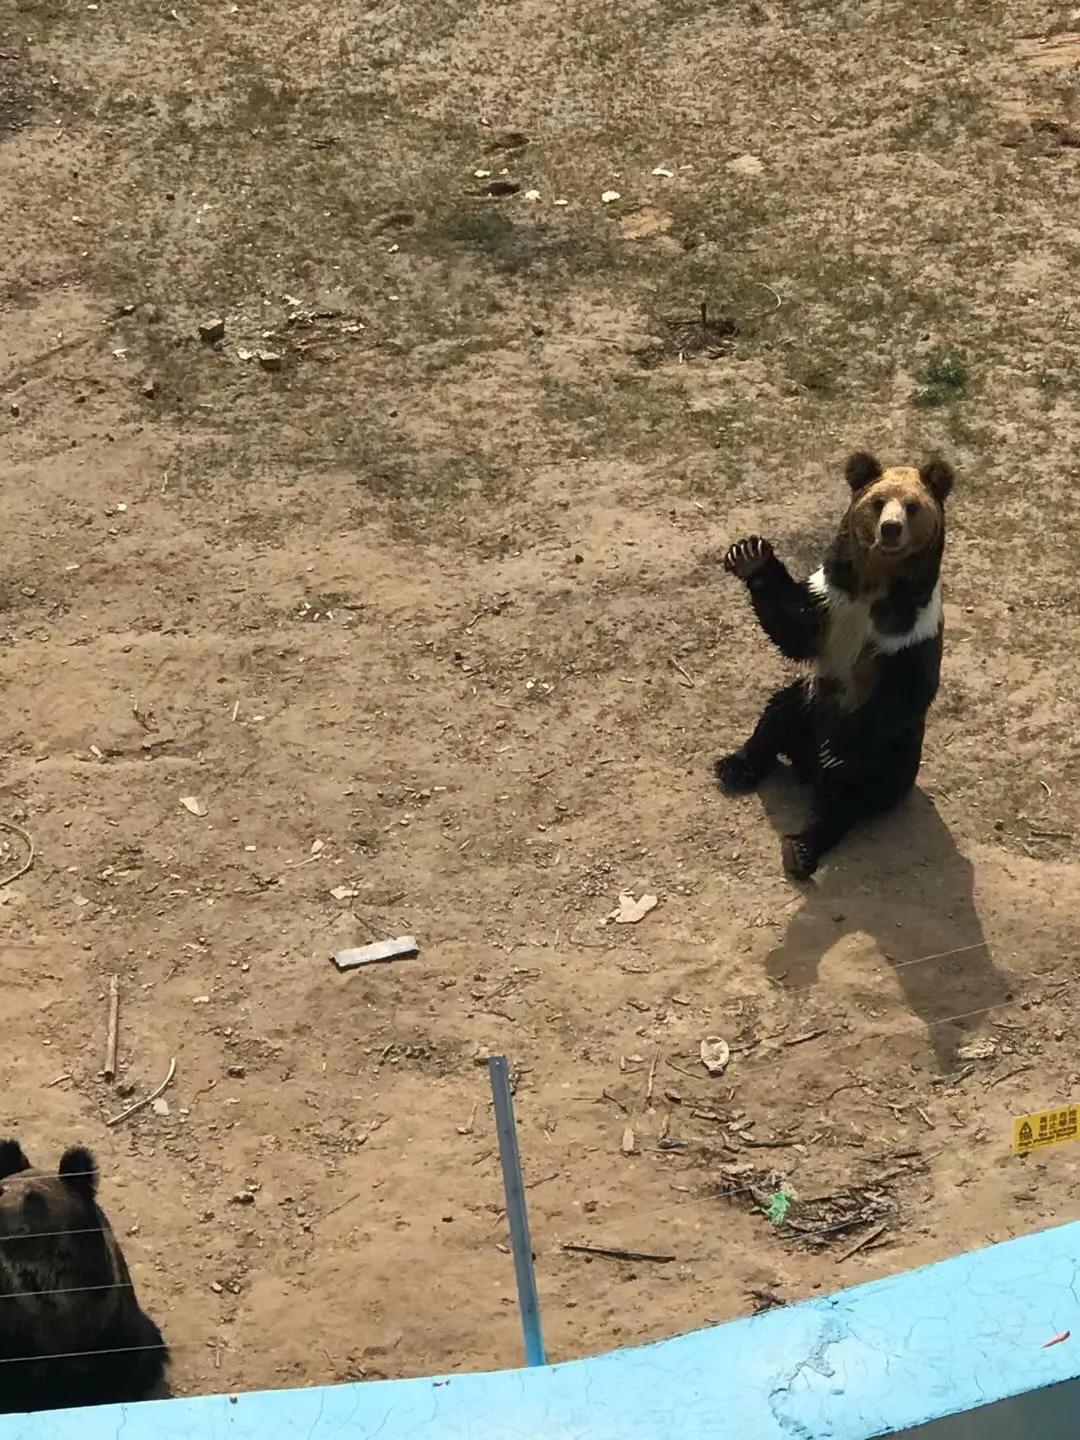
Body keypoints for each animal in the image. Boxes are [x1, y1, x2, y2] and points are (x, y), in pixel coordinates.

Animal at [720, 449, 956, 875]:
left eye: (912, 506)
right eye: (878, 502)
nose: (890, 529)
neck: (875, 586)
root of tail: (805, 766)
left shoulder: (910, 631)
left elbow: (908, 689)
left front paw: (837, 747)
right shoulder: (830, 599)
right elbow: (793, 629)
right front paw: (750, 555)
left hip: (888, 755)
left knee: (842, 797)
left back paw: (802, 847)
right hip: (811, 700)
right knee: (777, 715)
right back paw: (735, 766)